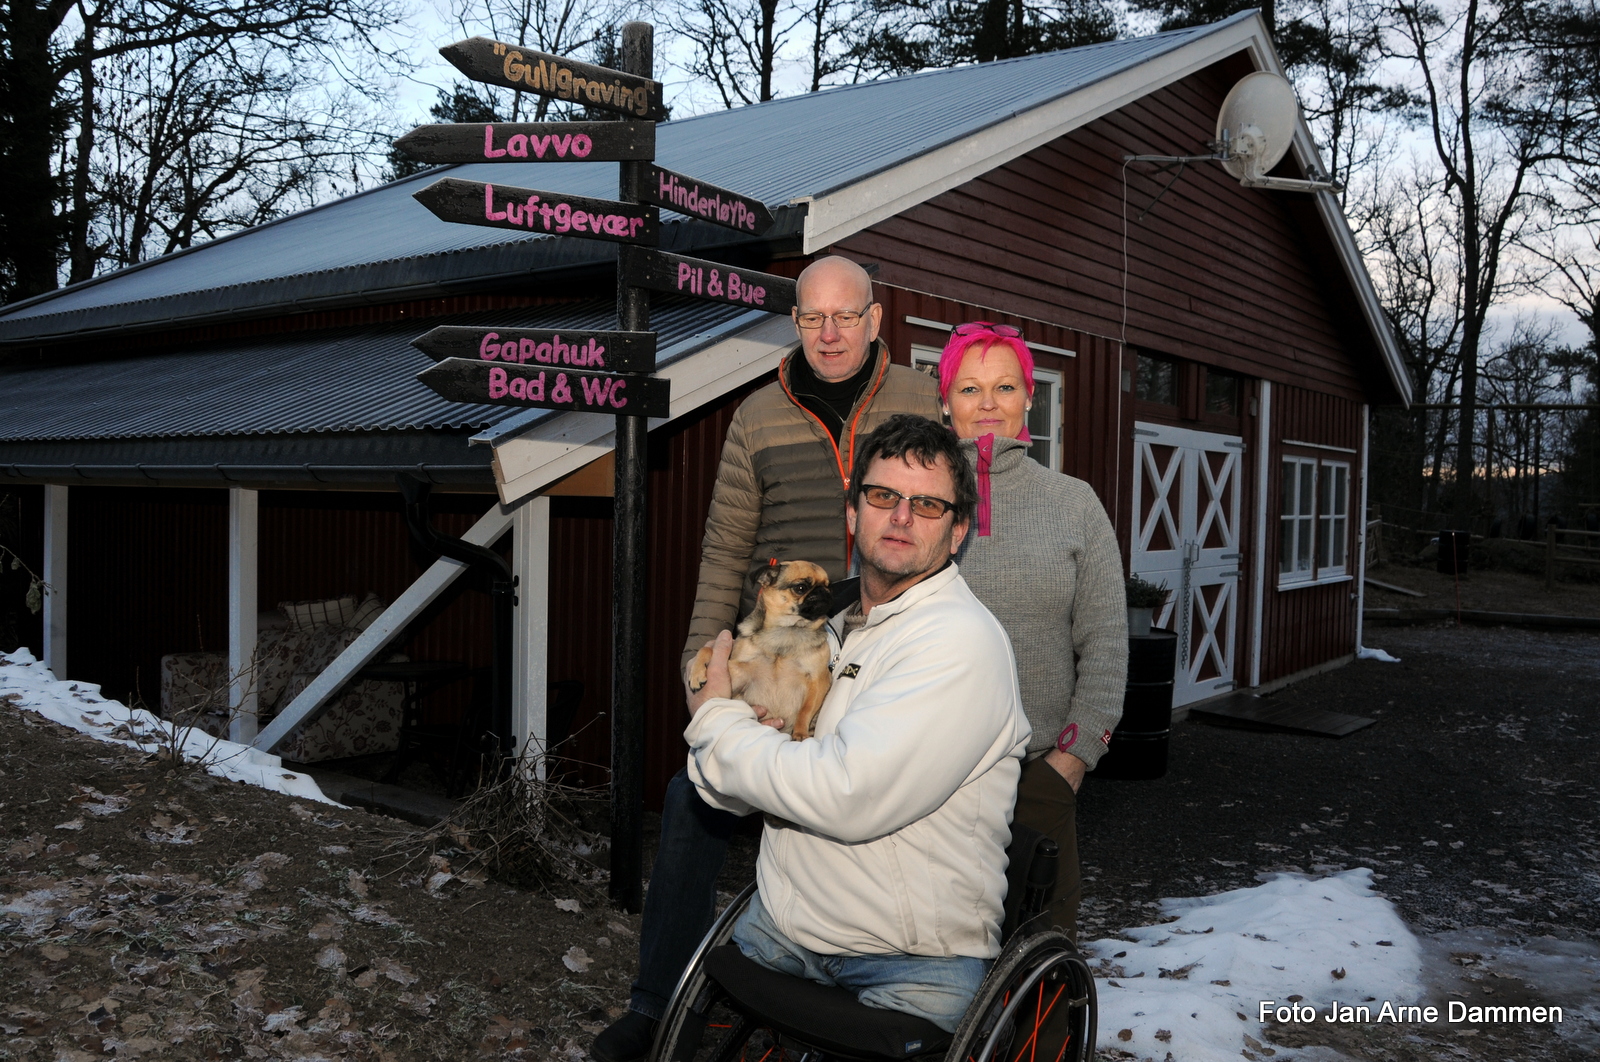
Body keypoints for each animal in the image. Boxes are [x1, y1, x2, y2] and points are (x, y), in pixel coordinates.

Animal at [688, 562, 838, 738]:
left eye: (830, 587)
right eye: (800, 588)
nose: (824, 592)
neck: (786, 631)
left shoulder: (818, 679)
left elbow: (805, 711)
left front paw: (800, 734)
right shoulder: (739, 671)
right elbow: (707, 649)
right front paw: (697, 673)